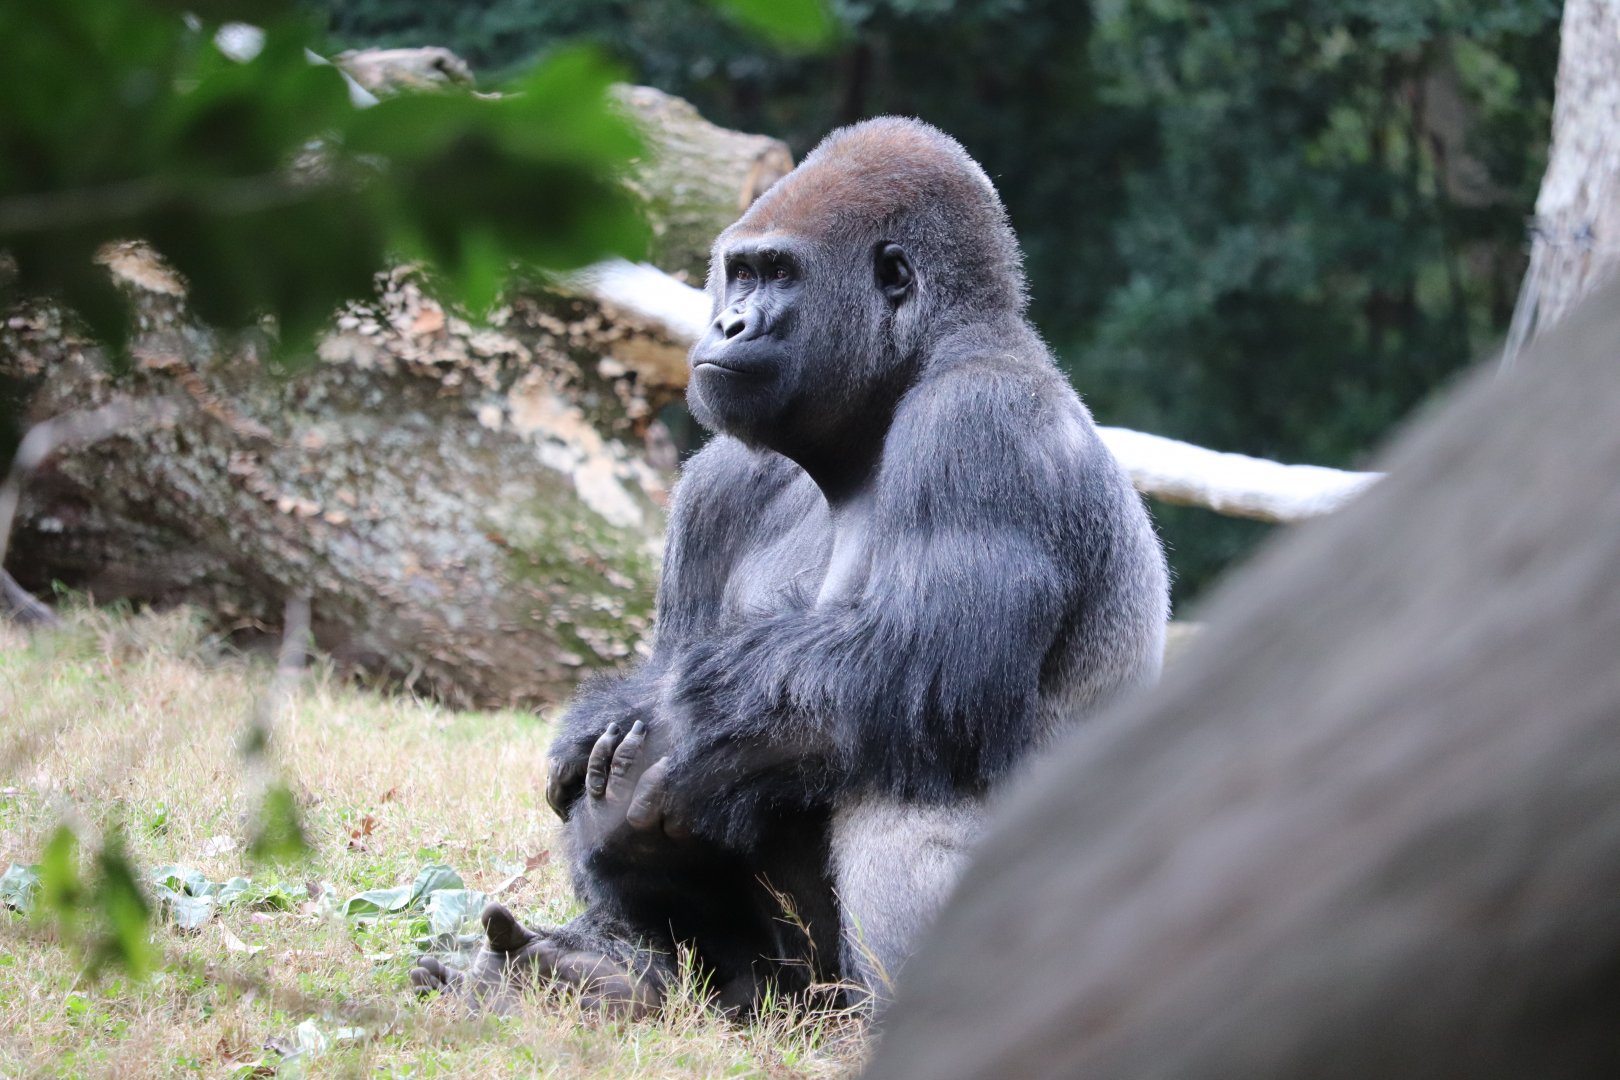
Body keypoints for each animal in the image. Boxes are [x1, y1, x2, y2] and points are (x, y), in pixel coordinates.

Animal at [411, 116, 1169, 1013]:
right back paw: (608, 968)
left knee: (900, 756)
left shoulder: (982, 419)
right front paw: (598, 736)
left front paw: (675, 738)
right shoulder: (717, 483)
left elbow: (923, 664)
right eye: (738, 272)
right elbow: (681, 671)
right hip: (777, 988)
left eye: (778, 273)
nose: (729, 325)